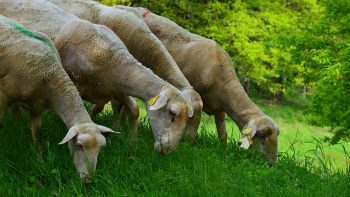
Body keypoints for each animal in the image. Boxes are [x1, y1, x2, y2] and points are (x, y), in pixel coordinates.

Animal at [0, 15, 117, 182]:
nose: (88, 180)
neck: (52, 76)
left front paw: (40, 160)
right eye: (79, 145)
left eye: (100, 149)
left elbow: (37, 134)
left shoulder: (36, 107)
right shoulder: (4, 94)